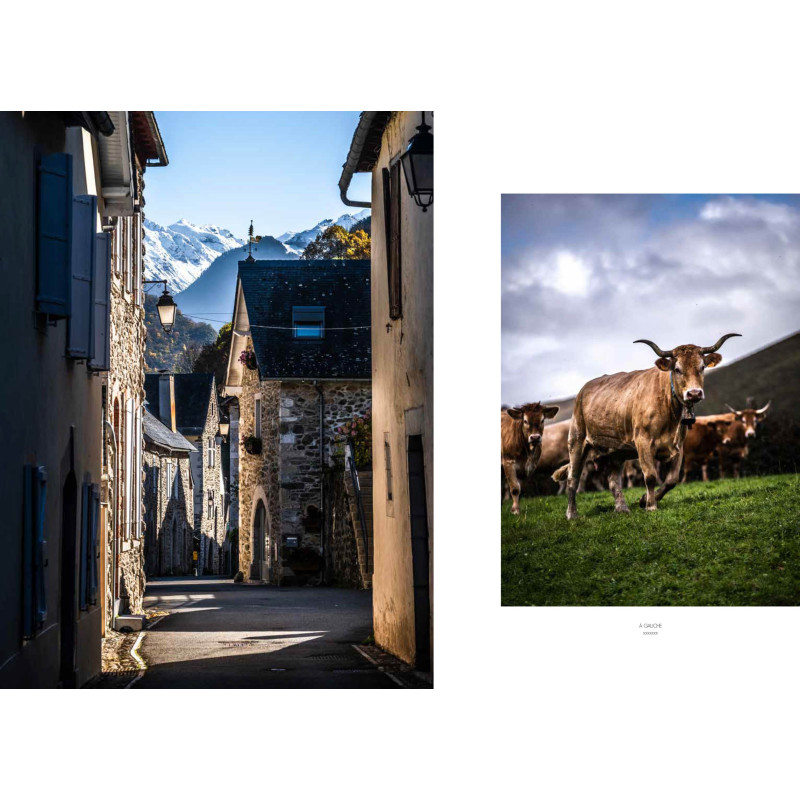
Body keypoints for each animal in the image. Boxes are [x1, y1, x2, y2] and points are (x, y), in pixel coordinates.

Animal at [552, 332, 740, 520]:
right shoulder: (643, 442)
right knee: (572, 479)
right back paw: (572, 514)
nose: (694, 393)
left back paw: (622, 508)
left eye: (702, 367)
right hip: (577, 441)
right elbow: (650, 476)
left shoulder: (679, 446)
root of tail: (584, 390)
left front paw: (644, 500)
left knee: (613, 481)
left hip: (616, 451)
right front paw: (651, 506)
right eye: (677, 369)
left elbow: (671, 480)